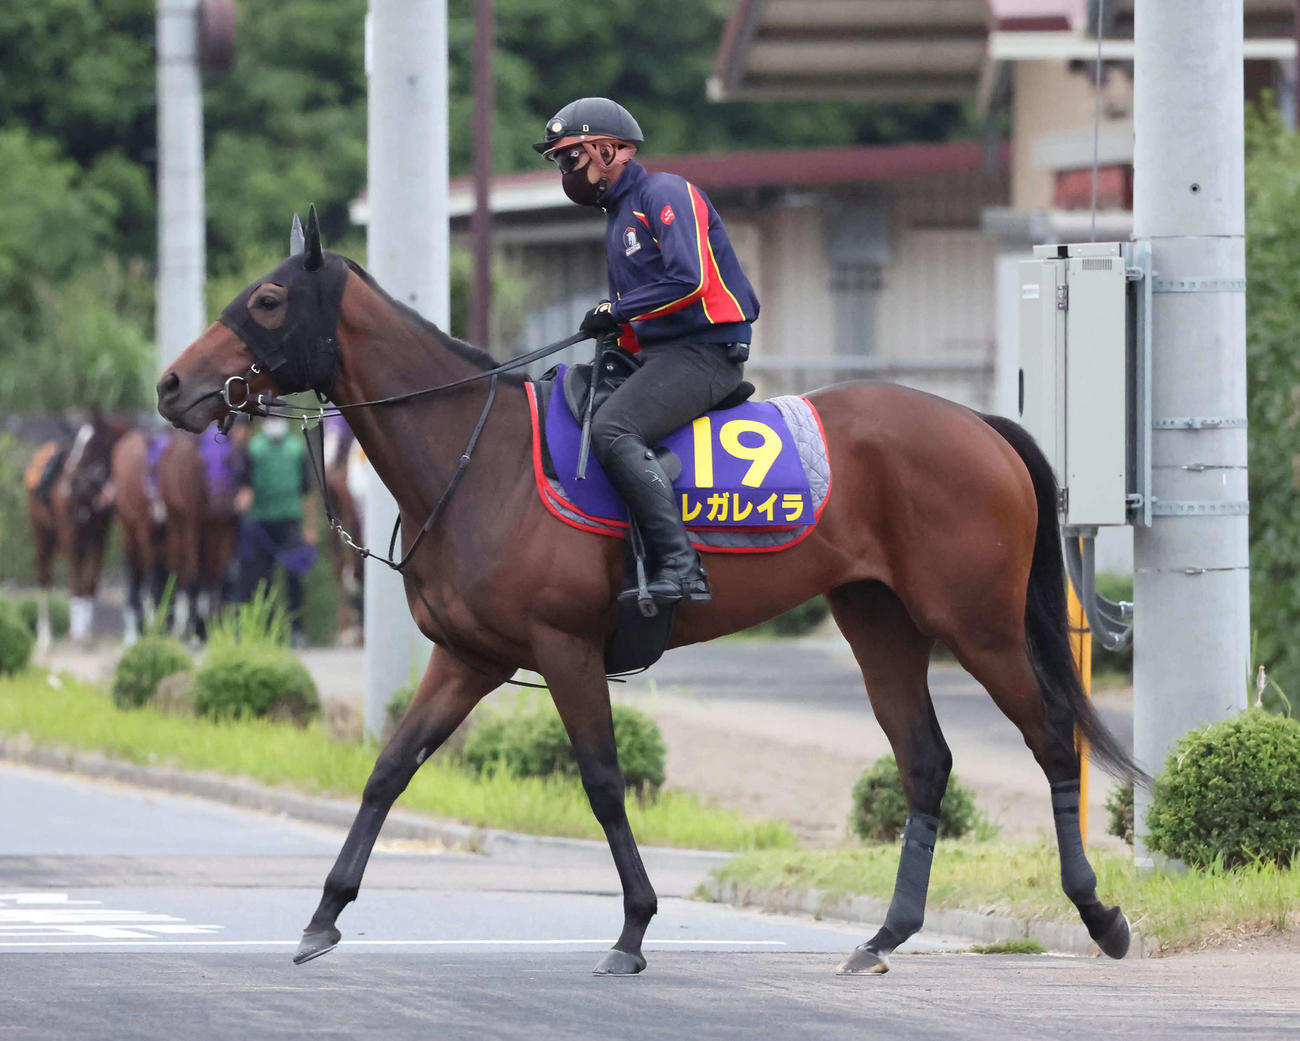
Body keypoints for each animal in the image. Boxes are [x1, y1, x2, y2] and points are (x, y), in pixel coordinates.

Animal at [24, 413, 129, 651]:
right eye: (80, 443)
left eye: (93, 444)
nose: (68, 487)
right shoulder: (70, 536)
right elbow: (76, 582)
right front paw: (78, 634)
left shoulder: (98, 539)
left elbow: (90, 582)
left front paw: (86, 634)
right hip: (41, 534)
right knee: (44, 577)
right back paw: (44, 637)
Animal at [155, 212, 1139, 977]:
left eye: (267, 301)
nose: (171, 385)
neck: (482, 459)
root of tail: (977, 422)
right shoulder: (468, 657)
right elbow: (390, 769)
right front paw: (324, 913)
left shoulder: (565, 650)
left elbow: (600, 780)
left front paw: (632, 927)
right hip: (882, 626)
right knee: (927, 761)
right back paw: (886, 934)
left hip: (978, 625)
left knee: (1052, 736)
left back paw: (1099, 913)